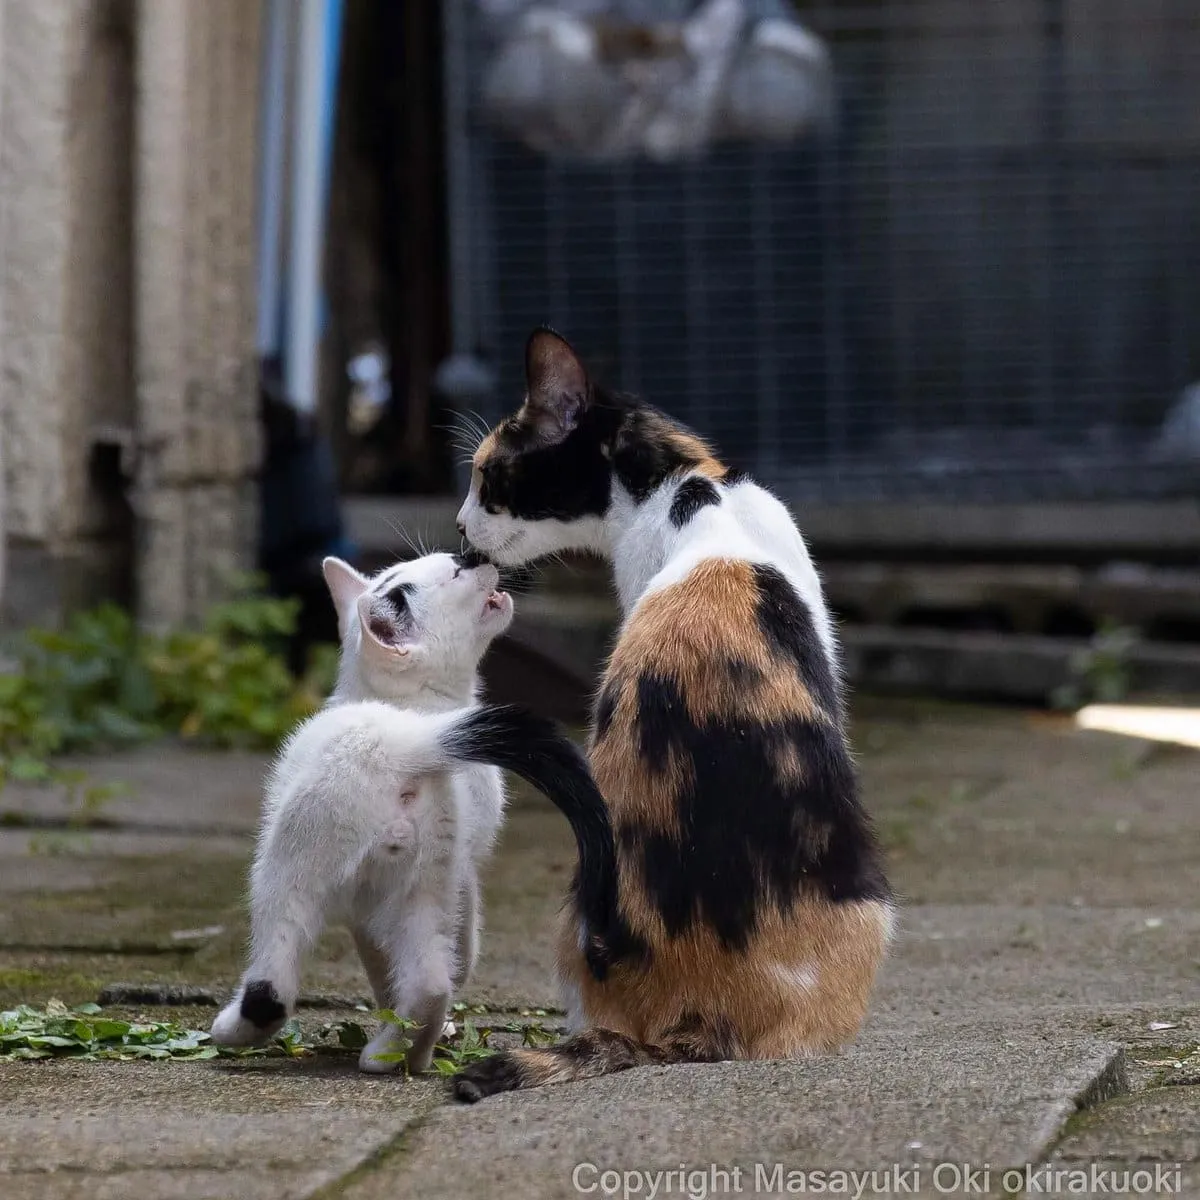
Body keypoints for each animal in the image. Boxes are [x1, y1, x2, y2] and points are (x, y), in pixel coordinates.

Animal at [210, 549, 614, 1075]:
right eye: (456, 572)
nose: (470, 555)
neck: (416, 707)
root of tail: (400, 743)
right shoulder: (460, 867)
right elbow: (459, 944)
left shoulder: (377, 905)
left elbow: (386, 965)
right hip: (419, 877)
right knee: (429, 980)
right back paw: (399, 1053)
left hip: (287, 868)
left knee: (275, 974)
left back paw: (239, 1031)